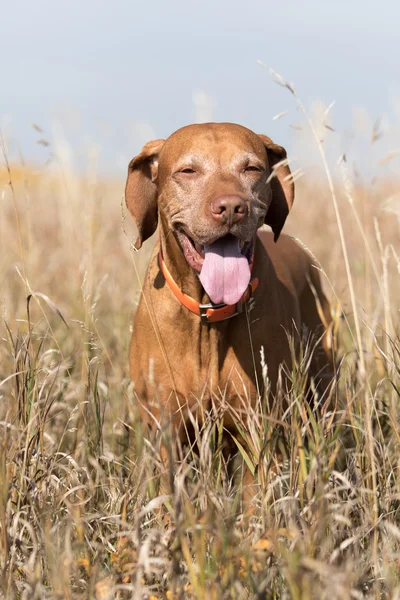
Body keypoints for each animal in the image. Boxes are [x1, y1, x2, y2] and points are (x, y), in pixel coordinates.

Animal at [124, 123, 332, 446]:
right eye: (188, 171)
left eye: (251, 168)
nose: (232, 207)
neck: (209, 313)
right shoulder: (165, 426)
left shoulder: (259, 422)